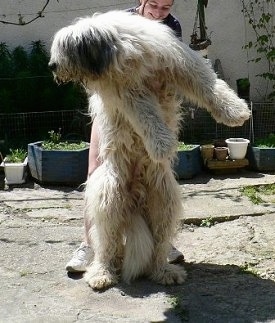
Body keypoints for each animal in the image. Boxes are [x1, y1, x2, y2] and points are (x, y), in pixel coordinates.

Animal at [48, 10, 251, 290]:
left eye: (64, 49)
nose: (51, 66)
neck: (120, 53)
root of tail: (135, 195)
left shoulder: (179, 64)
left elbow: (208, 83)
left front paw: (235, 111)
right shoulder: (127, 93)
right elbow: (146, 114)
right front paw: (162, 143)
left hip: (164, 202)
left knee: (158, 246)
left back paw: (164, 271)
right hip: (108, 199)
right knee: (107, 245)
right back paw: (101, 274)